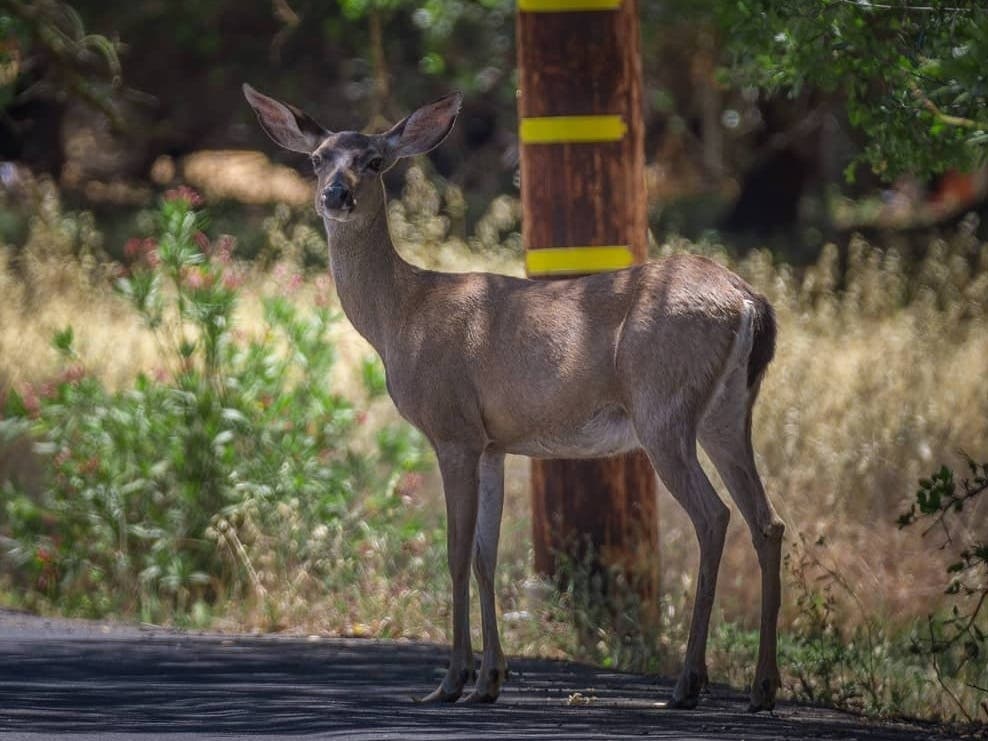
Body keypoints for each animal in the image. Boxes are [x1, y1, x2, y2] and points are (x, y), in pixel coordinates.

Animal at [243, 84, 785, 712]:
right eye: (316, 159)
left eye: (375, 161)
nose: (336, 194)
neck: (401, 317)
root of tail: (748, 301)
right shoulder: (494, 443)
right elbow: (486, 556)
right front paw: (490, 680)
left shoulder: (452, 428)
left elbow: (455, 553)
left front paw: (450, 682)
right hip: (728, 411)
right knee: (768, 521)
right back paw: (762, 687)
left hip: (663, 408)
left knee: (714, 515)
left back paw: (687, 684)